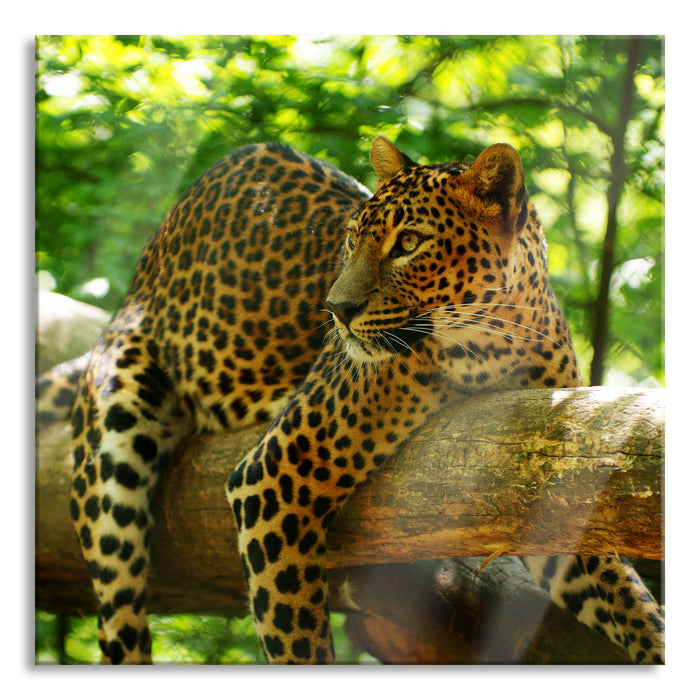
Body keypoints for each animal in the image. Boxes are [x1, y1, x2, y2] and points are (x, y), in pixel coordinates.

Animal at [62, 135, 664, 664]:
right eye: (353, 239)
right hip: (113, 452)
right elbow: (295, 638)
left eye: (409, 244)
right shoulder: (273, 475)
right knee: (121, 614)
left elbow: (627, 596)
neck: (492, 346)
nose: (337, 309)